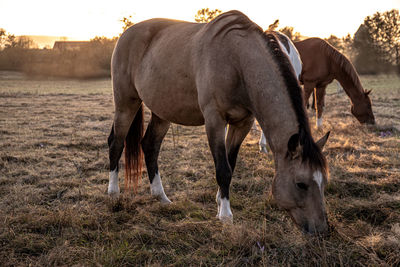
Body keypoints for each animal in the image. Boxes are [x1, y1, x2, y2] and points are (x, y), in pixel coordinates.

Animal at [108, 11, 330, 234]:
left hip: (162, 111)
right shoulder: (215, 121)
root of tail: (126, 34)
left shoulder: (242, 123)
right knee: (116, 142)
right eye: (301, 184)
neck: (237, 61)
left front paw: (219, 202)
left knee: (150, 145)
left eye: (324, 182)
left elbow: (230, 164)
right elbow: (223, 169)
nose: (322, 229)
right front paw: (225, 215)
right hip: (126, 103)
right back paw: (113, 193)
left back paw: (161, 196)